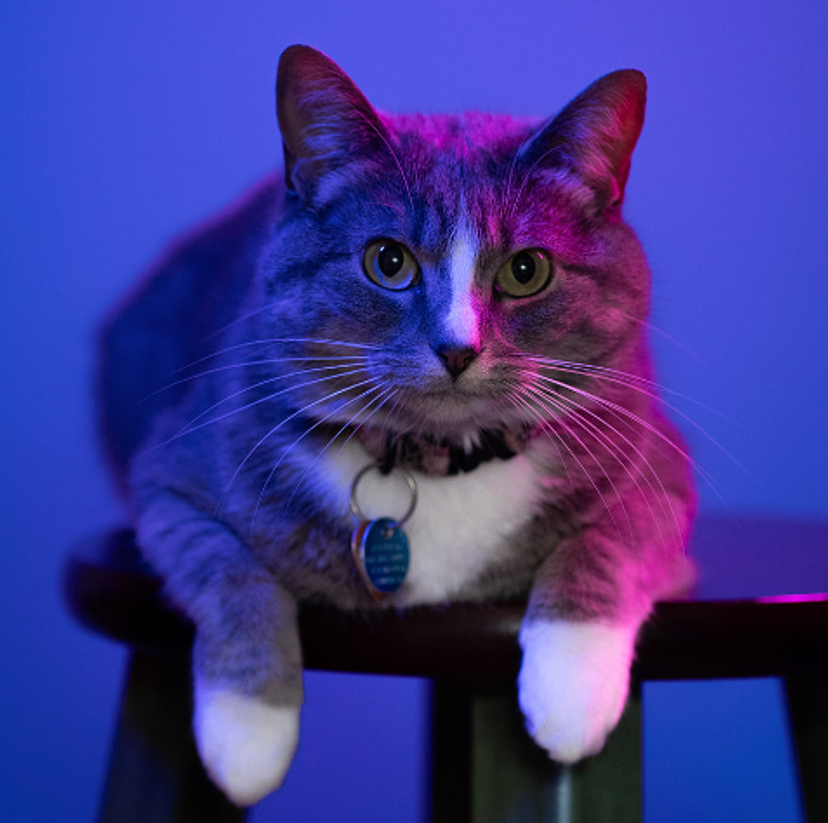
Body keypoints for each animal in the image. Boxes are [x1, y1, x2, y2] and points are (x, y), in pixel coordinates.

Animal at [100, 43, 700, 804]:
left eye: (527, 270)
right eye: (388, 261)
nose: (457, 348)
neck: (443, 463)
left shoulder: (657, 463)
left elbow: (606, 544)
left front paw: (569, 696)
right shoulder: (174, 478)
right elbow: (229, 571)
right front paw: (248, 734)